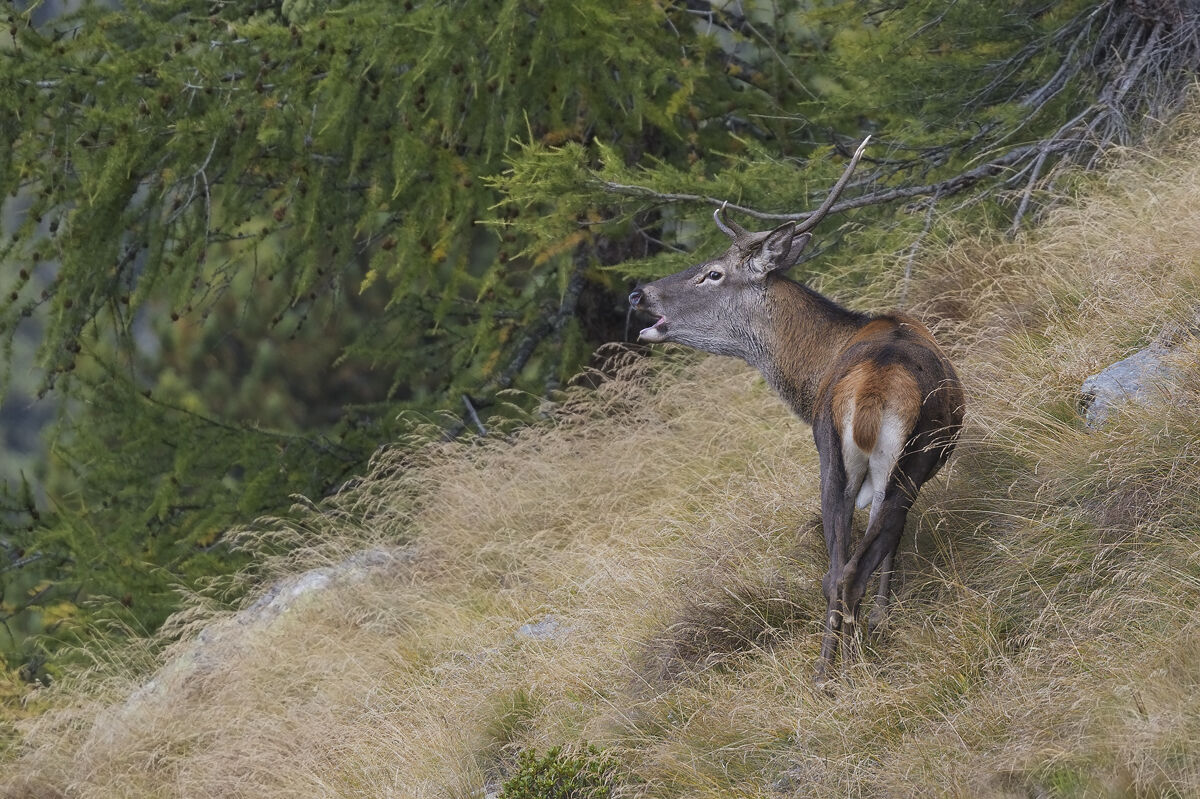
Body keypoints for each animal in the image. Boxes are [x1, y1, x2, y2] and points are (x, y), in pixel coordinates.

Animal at [627, 138, 964, 684]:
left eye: (712, 273)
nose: (638, 292)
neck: (812, 370)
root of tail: (874, 389)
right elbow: (891, 547)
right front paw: (884, 619)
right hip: (894, 459)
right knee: (850, 567)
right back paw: (844, 666)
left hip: (843, 457)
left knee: (838, 570)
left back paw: (829, 670)